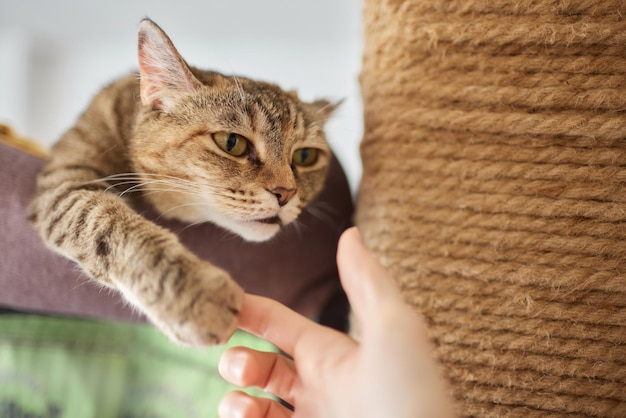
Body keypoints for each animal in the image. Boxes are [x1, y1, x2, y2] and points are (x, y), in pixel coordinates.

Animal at [29, 18, 336, 348]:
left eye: (305, 156)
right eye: (232, 143)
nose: (286, 192)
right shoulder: (65, 183)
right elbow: (111, 223)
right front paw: (196, 295)